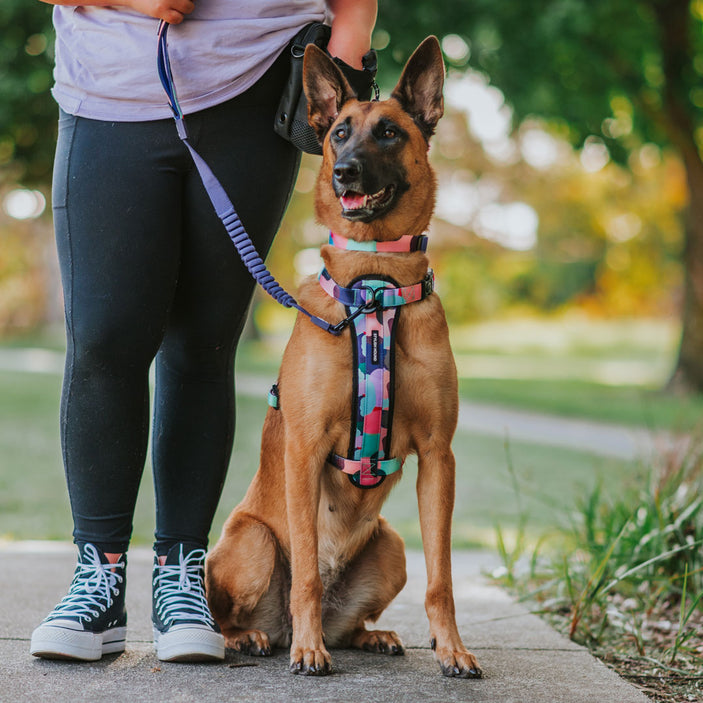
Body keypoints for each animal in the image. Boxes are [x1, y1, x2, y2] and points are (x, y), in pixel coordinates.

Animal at [205, 35, 484, 680]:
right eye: (338, 133)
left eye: (389, 132)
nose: (345, 172)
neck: (374, 282)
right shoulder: (305, 449)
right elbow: (306, 572)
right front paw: (310, 651)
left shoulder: (439, 456)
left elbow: (442, 580)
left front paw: (452, 649)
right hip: (252, 541)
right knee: (246, 610)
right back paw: (256, 638)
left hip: (391, 545)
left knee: (353, 619)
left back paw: (369, 635)